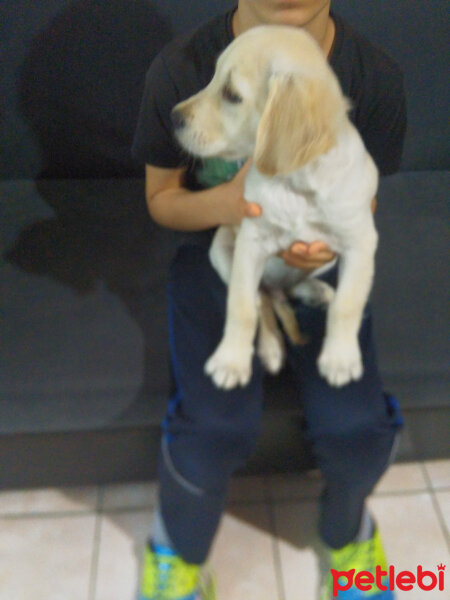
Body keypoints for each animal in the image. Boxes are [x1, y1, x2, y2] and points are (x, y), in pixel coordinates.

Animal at [172, 24, 380, 390]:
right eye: (212, 76)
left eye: (231, 94)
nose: (173, 118)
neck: (297, 184)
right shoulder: (251, 242)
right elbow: (241, 307)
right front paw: (231, 361)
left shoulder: (361, 242)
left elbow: (348, 304)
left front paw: (340, 359)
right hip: (222, 250)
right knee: (262, 300)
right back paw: (270, 348)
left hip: (324, 260)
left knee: (290, 289)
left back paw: (317, 292)